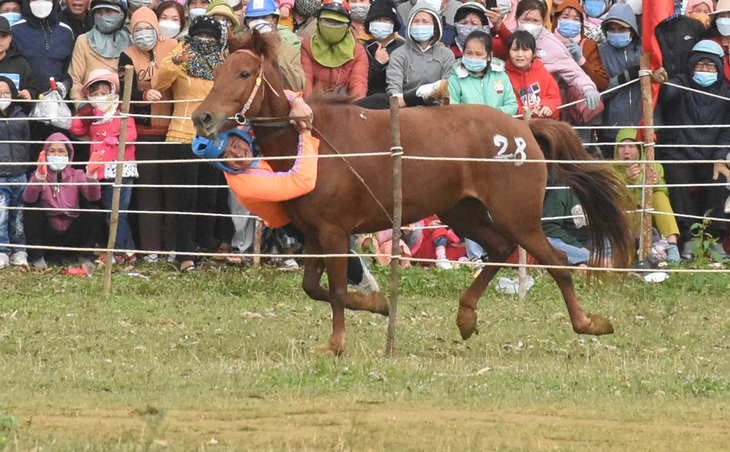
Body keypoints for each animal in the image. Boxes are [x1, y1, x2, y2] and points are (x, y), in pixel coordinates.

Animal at [192, 32, 632, 356]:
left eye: (244, 73)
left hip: (517, 215)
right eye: (218, 70)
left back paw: (589, 323)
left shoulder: (333, 232)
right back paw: (466, 318)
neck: (312, 139)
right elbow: (314, 287)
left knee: (556, 261)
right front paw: (377, 304)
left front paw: (336, 343)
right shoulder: (315, 234)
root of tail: (523, 129)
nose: (202, 117)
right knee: (500, 249)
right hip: (463, 212)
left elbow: (335, 290)